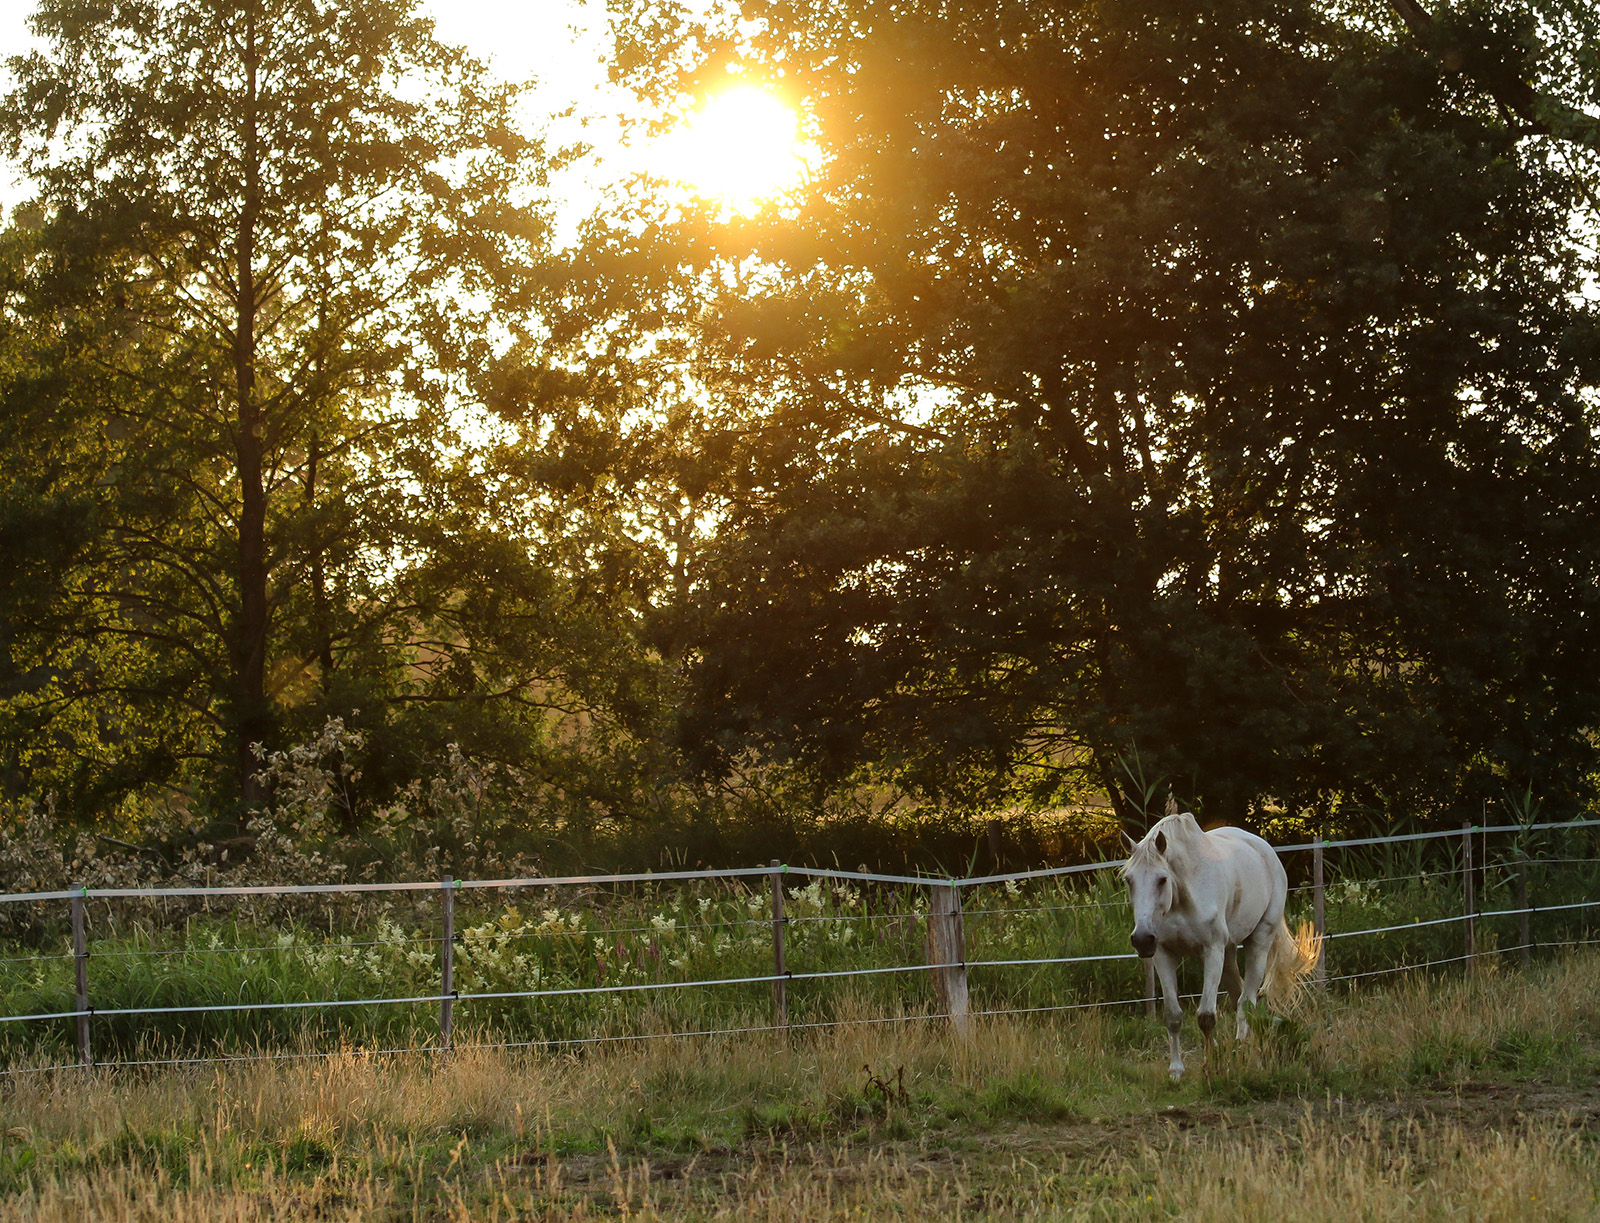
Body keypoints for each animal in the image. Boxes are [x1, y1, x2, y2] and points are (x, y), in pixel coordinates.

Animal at [1126, 813, 1312, 1082]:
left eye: (1162, 879)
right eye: (1128, 880)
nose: (1141, 939)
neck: (1183, 897)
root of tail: (1266, 851)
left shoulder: (1212, 951)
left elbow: (1206, 1017)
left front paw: (1210, 1067)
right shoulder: (1163, 954)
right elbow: (1173, 1016)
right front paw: (1176, 1071)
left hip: (1258, 942)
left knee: (1247, 1001)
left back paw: (1246, 1052)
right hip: (1229, 953)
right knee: (1240, 997)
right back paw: (1245, 1048)